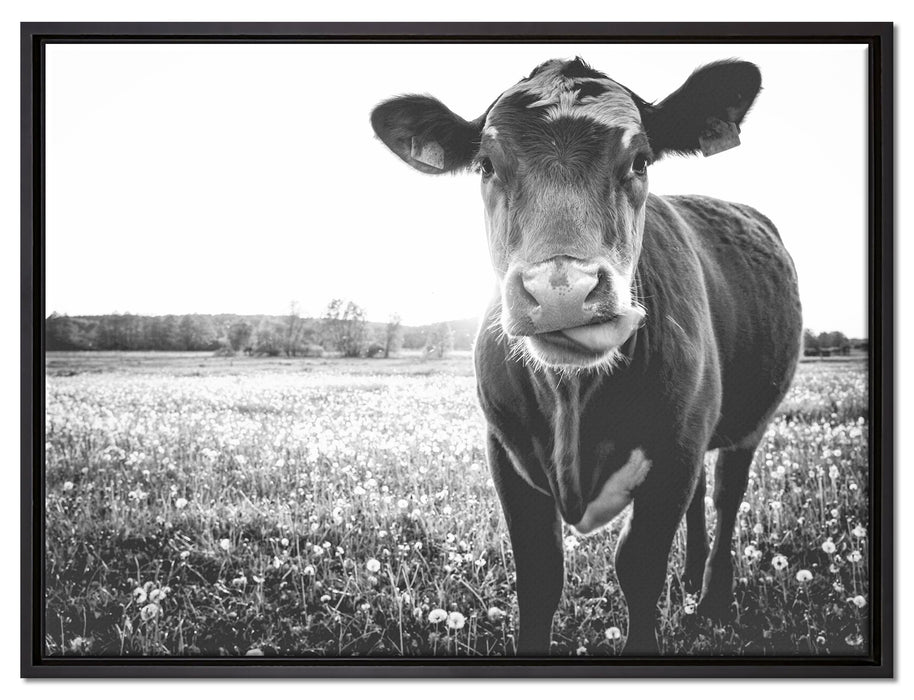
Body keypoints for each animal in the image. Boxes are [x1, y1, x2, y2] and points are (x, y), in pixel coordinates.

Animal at [370, 57, 802, 655]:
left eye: (640, 159)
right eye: (486, 164)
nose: (561, 290)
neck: (573, 402)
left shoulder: (674, 452)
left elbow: (639, 567)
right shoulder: (506, 453)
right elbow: (539, 575)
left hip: (746, 425)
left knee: (725, 496)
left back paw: (712, 599)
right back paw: (692, 578)